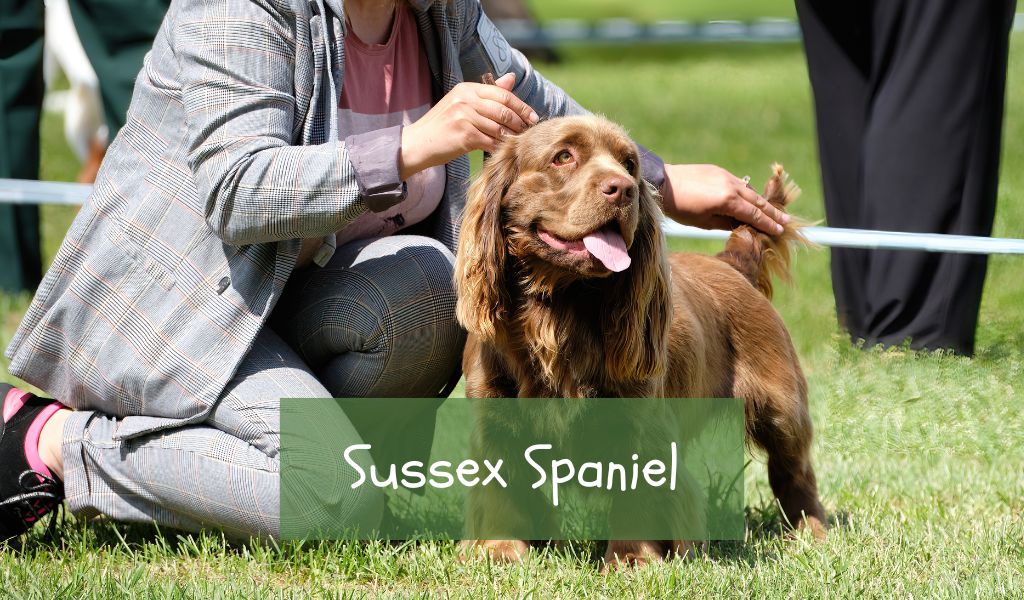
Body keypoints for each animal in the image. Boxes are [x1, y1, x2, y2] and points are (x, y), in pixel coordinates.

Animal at [452, 113, 827, 565]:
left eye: (629, 164)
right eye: (563, 156)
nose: (624, 189)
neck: (558, 312)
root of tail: (733, 262)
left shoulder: (641, 420)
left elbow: (639, 493)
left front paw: (632, 559)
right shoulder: (495, 415)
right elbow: (502, 484)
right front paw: (499, 550)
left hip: (783, 407)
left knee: (794, 471)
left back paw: (810, 533)